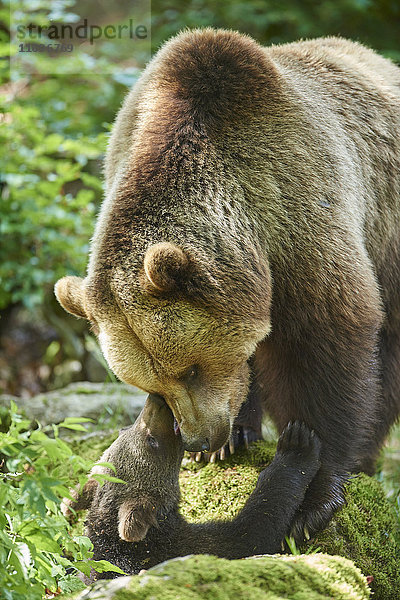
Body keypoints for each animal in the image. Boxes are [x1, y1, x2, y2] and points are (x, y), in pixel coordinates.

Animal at [55, 29, 400, 540]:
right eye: (151, 382)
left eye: (190, 369)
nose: (198, 438)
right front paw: (230, 440)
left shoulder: (298, 211)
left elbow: (324, 344)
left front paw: (315, 495)